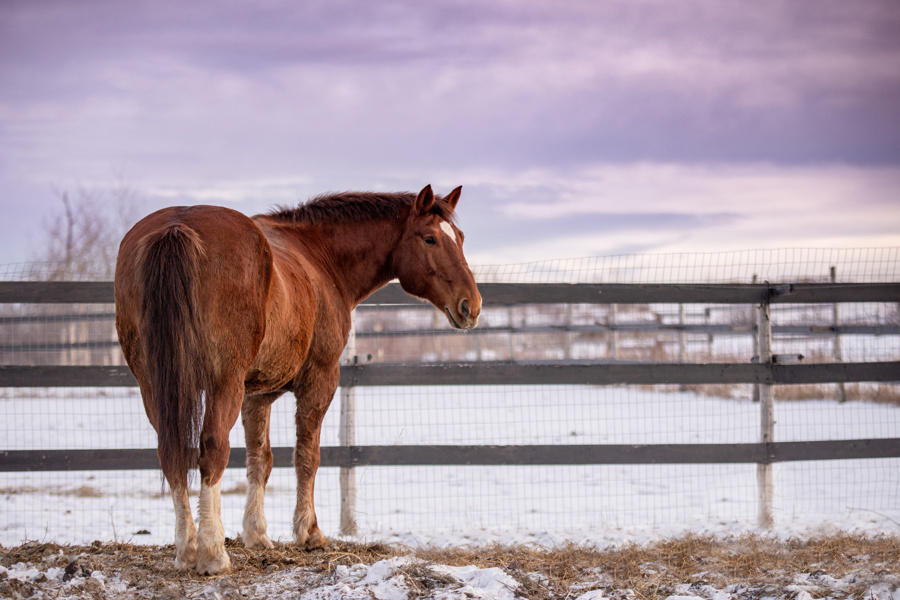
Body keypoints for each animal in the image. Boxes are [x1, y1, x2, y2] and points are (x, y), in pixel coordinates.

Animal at [115, 185, 482, 576]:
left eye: (460, 237)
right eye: (430, 238)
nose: (471, 305)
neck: (319, 257)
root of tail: (178, 225)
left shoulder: (255, 396)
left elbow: (260, 460)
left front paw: (256, 534)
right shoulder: (319, 381)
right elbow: (307, 456)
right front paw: (309, 532)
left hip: (154, 386)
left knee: (171, 452)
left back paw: (186, 549)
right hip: (221, 383)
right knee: (212, 450)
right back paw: (212, 552)